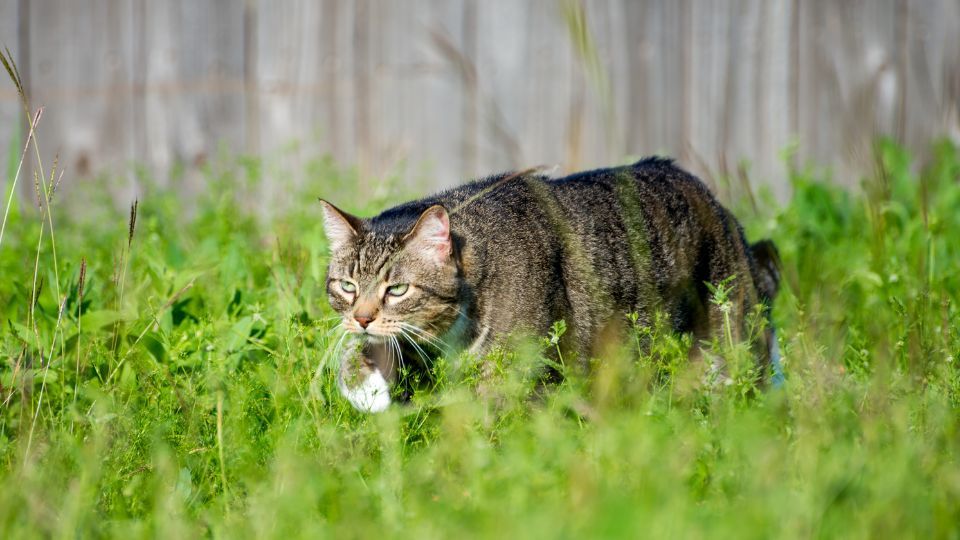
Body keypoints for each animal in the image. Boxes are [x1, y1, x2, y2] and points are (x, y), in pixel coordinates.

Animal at [318, 158, 776, 412]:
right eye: (346, 286)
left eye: (397, 290)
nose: (361, 318)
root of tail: (718, 204)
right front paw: (363, 384)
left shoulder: (516, 374)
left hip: (730, 346)